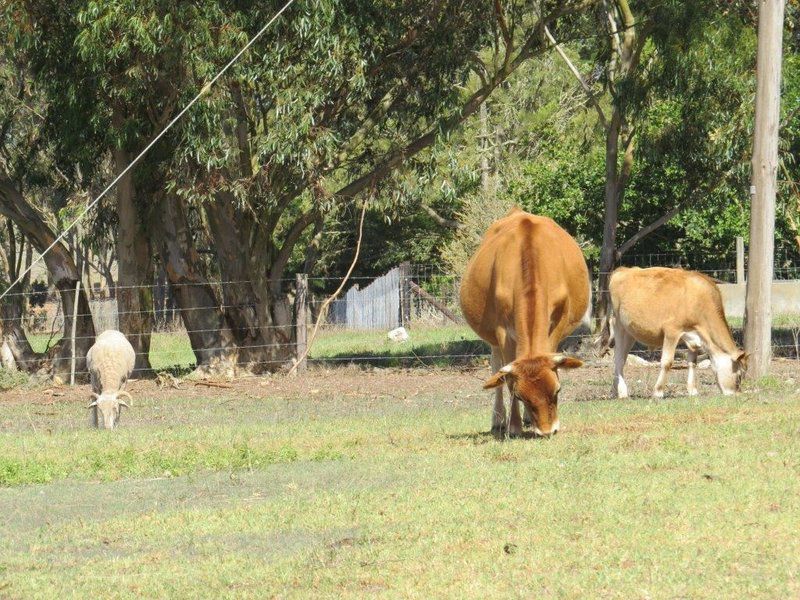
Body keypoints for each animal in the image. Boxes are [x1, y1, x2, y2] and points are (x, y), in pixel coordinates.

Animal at [462, 210, 588, 436]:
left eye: (558, 390)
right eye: (520, 396)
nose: (547, 431)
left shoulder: (557, 323)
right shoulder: (502, 331)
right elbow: (505, 377)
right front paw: (513, 426)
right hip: (492, 339)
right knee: (496, 368)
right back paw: (499, 419)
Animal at [608, 268, 748, 398]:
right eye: (739, 375)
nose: (736, 394)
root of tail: (623, 269)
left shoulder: (693, 337)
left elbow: (692, 362)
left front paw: (693, 390)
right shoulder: (672, 331)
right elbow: (667, 362)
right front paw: (658, 391)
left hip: (630, 332)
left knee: (622, 358)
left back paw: (615, 390)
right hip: (618, 325)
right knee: (619, 358)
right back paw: (622, 392)